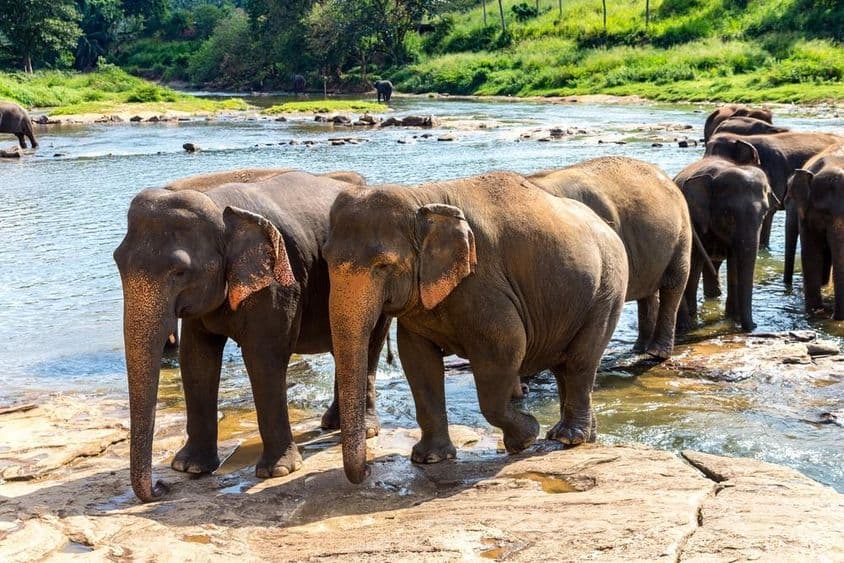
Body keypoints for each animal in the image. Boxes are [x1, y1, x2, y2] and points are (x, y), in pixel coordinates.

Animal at [113, 168, 387, 502]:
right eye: (117, 261)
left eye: (179, 272)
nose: (160, 487)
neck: (218, 205)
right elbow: (196, 359)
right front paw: (189, 467)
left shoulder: (280, 281)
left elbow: (263, 357)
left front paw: (278, 471)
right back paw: (332, 423)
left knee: (369, 344)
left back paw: (365, 429)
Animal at [324, 171, 628, 484]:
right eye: (324, 258)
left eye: (383, 265)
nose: (369, 470)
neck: (422, 198)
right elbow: (417, 361)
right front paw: (429, 458)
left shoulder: (484, 284)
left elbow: (504, 349)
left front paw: (525, 439)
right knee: (563, 366)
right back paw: (580, 436)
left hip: (607, 291)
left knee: (580, 361)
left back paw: (569, 438)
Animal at [528, 156, 691, 359]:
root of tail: (670, 180)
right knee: (647, 292)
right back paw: (639, 348)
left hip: (681, 236)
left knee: (673, 285)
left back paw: (656, 353)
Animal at [674, 157, 774, 331]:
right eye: (729, 215)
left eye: (764, 213)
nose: (754, 326)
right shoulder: (696, 221)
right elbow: (695, 261)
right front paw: (692, 322)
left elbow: (734, 262)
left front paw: (733, 318)